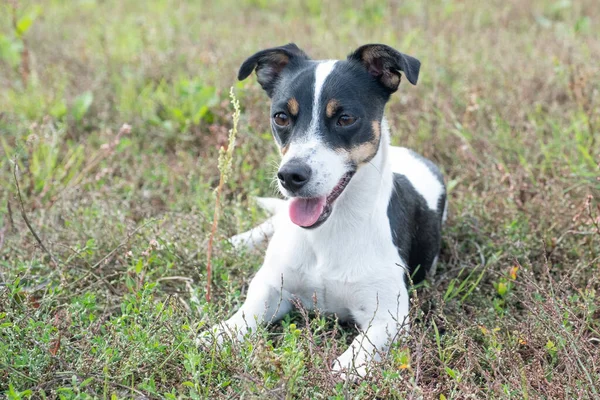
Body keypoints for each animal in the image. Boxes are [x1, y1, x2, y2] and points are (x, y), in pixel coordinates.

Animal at [204, 43, 448, 378]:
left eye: (345, 118)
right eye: (281, 117)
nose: (290, 176)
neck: (329, 232)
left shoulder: (389, 314)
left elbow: (360, 351)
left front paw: (348, 367)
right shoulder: (272, 285)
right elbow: (247, 312)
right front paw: (220, 333)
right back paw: (239, 241)